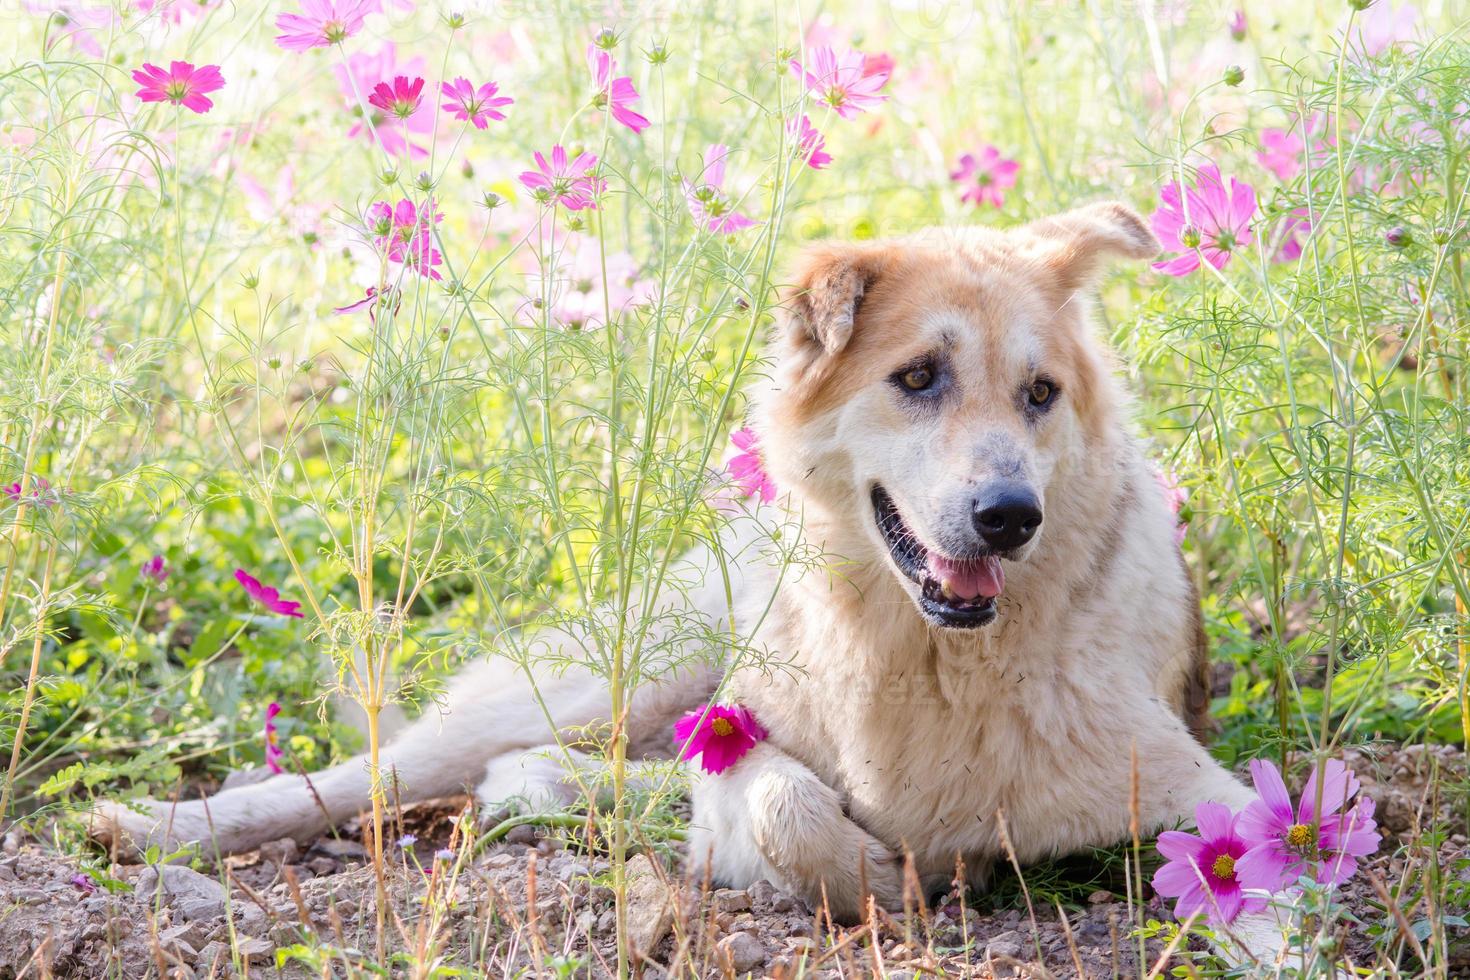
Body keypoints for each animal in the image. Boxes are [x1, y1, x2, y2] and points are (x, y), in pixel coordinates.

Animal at [91, 201, 1252, 928]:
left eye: (1042, 394)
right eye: (919, 377)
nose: (1010, 517)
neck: (931, 661)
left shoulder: (1204, 790)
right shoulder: (745, 744)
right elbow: (786, 808)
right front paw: (873, 870)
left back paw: (539, 786)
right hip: (632, 670)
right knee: (372, 773)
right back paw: (156, 824)